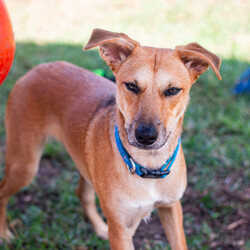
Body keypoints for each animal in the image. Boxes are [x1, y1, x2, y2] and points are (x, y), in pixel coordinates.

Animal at [0, 28, 221, 248]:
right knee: (2, 191)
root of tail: (37, 69)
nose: (145, 136)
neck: (149, 165)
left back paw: (99, 228)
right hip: (24, 166)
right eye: (131, 86)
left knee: (83, 194)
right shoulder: (120, 230)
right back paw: (4, 234)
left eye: (173, 90)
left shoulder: (172, 208)